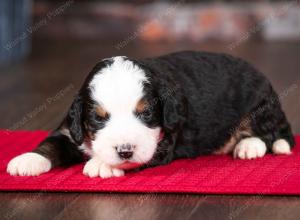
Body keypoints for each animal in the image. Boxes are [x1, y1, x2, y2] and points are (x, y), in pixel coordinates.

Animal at [7, 50, 296, 178]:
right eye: (99, 118)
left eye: (146, 114)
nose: (124, 150)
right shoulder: (71, 128)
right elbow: (51, 143)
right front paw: (28, 160)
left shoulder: (165, 141)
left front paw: (103, 164)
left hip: (260, 105)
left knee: (272, 135)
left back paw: (248, 146)